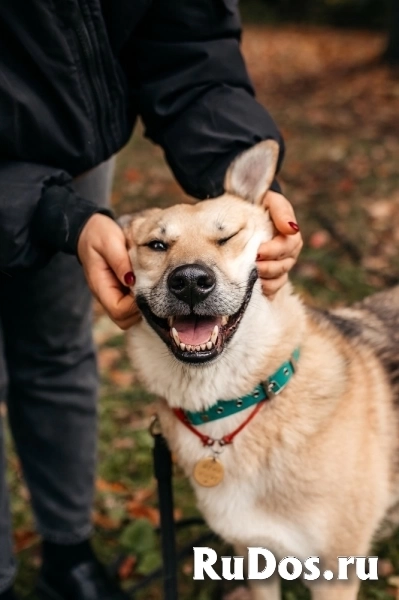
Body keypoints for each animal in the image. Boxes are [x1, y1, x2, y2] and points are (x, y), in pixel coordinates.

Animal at [121, 142, 399, 600]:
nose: (190, 281)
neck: (229, 407)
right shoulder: (254, 558)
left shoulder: (335, 575)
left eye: (226, 236)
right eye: (157, 245)